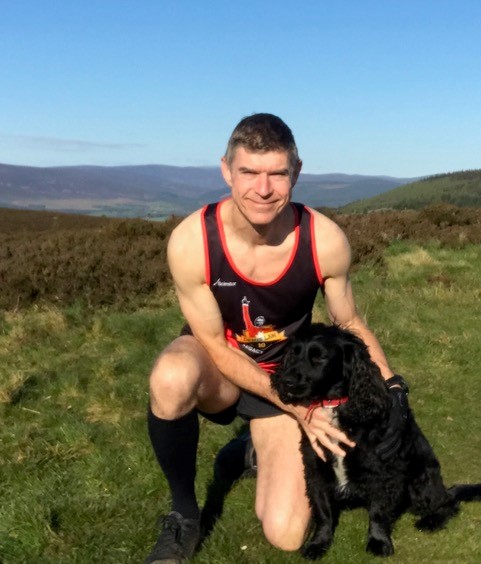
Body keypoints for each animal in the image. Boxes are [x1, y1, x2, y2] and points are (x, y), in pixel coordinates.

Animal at [270, 324, 480, 556]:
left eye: (320, 357)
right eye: (293, 353)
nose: (286, 382)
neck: (336, 406)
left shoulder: (384, 471)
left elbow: (378, 512)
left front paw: (379, 542)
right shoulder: (315, 469)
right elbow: (323, 511)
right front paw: (318, 544)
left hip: (422, 479)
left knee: (449, 503)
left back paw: (431, 520)